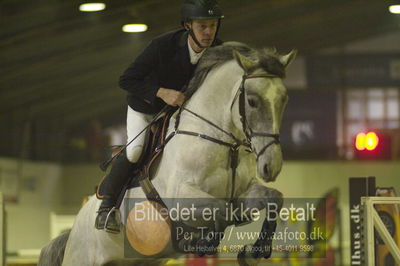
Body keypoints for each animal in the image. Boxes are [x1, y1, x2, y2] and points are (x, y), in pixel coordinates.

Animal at [39, 41, 296, 266]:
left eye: (284, 100)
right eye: (252, 101)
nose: (271, 166)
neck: (221, 142)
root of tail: (71, 232)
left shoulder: (242, 194)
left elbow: (273, 198)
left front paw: (254, 252)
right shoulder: (182, 197)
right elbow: (223, 211)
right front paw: (204, 242)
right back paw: (105, 217)